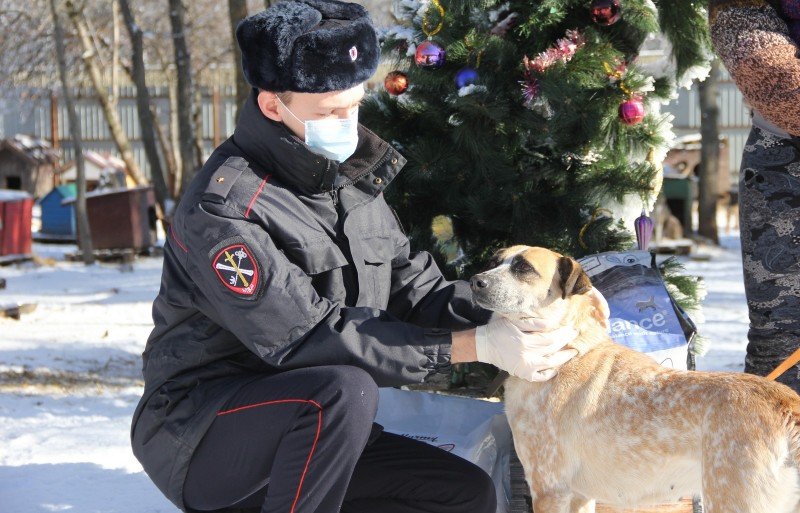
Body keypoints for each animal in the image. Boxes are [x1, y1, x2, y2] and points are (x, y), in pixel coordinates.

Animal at [472, 246, 800, 510]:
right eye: (494, 261)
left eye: (523, 268)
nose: (476, 280)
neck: (563, 352)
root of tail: (786, 406)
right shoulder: (579, 495)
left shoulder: (549, 489)